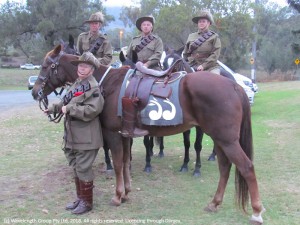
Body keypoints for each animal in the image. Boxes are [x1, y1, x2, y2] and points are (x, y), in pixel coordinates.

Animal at [31, 44, 264, 224]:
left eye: (46, 66)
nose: (34, 91)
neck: (107, 84)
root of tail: (233, 86)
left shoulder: (112, 134)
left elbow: (118, 163)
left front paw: (117, 196)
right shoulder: (124, 134)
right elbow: (125, 162)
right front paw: (126, 192)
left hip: (226, 140)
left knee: (246, 167)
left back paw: (256, 212)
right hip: (220, 139)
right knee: (225, 167)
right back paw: (214, 203)